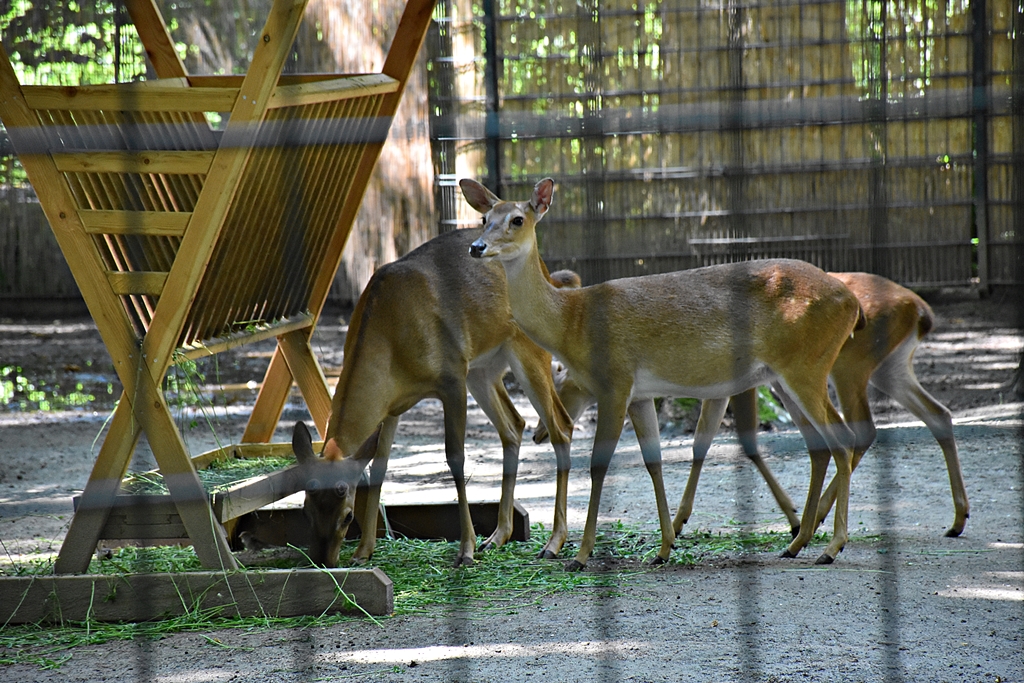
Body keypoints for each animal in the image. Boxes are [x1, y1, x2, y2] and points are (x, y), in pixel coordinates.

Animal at [291, 227, 576, 568]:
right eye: (305, 510)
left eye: (347, 516)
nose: (322, 560)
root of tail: (549, 274)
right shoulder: (392, 407)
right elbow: (379, 466)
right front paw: (363, 551)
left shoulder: (451, 378)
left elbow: (455, 457)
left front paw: (465, 550)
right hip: (482, 369)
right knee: (514, 425)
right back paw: (498, 536)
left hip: (527, 351)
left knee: (561, 427)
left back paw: (553, 542)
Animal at [461, 177, 861, 569]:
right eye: (484, 218)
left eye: (517, 219)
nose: (477, 247)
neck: (573, 321)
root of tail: (852, 303)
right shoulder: (639, 395)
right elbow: (653, 462)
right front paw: (664, 548)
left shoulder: (615, 383)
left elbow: (598, 466)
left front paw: (580, 555)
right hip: (785, 376)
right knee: (822, 445)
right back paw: (796, 543)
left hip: (806, 366)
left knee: (842, 439)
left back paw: (831, 546)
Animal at [535, 272, 969, 541]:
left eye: (561, 380)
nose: (541, 432)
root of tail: (921, 312)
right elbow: (706, 442)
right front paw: (679, 522)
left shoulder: (734, 384)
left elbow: (736, 440)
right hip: (888, 370)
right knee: (936, 414)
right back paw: (956, 520)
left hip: (848, 369)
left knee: (860, 430)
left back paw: (821, 523)